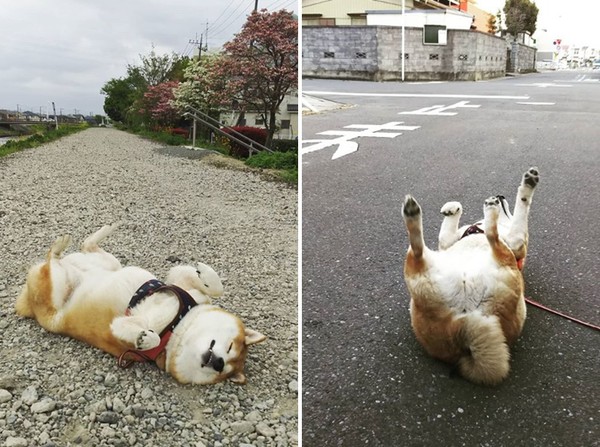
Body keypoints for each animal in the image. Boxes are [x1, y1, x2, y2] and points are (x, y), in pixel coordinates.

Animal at [15, 226, 268, 386]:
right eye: (231, 347)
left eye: (223, 371)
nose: (218, 362)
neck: (179, 325)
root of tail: (29, 304)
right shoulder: (181, 284)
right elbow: (216, 288)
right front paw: (205, 272)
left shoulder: (125, 328)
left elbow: (143, 332)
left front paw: (144, 338)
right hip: (96, 268)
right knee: (64, 252)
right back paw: (80, 238)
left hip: (78, 277)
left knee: (64, 255)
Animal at [404, 168, 540, 384]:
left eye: (509, 211)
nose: (500, 195)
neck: (477, 229)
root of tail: (459, 327)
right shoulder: (446, 242)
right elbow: (447, 229)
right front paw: (452, 208)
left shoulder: (516, 241)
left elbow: (522, 206)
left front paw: (526, 187)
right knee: (419, 250)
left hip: (504, 258)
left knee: (492, 235)